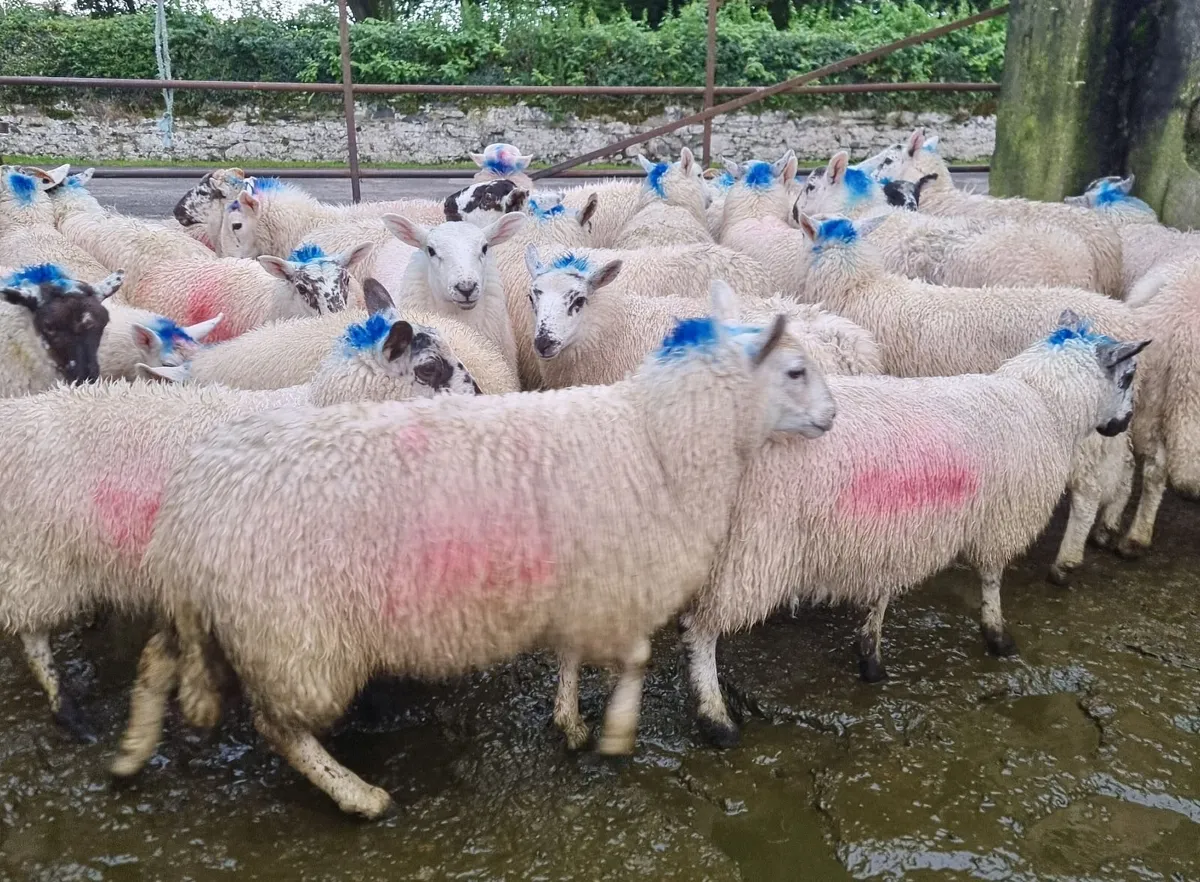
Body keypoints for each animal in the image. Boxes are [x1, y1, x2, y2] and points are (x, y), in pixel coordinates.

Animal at [0, 306, 481, 739]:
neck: (321, 409)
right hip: (35, 557)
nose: (480, 398)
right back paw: (68, 711)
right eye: (429, 367)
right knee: (32, 635)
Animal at [682, 318, 1150, 745]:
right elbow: (992, 578)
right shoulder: (997, 519)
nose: (1123, 423)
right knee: (703, 631)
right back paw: (715, 719)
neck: (1045, 403)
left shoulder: (897, 531)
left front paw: (870, 655)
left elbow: (881, 594)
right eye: (1128, 376)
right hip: (750, 545)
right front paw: (998, 635)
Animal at [795, 213, 1147, 585]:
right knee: (1125, 464)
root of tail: (1126, 320)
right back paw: (1108, 527)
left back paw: (1066, 560)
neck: (860, 288)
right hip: (1114, 421)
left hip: (1087, 426)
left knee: (1089, 489)